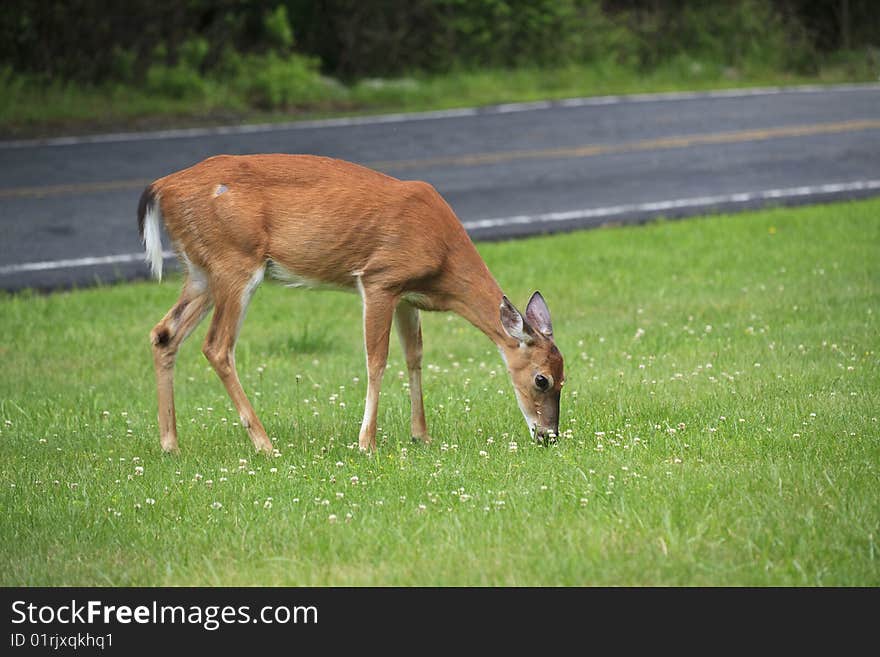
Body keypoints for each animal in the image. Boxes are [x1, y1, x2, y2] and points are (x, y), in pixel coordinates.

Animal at [138, 153, 564, 452]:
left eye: (564, 377)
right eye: (541, 379)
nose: (549, 435)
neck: (442, 258)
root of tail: (161, 187)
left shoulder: (407, 295)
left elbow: (415, 356)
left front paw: (421, 436)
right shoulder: (379, 279)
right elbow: (377, 360)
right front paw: (367, 443)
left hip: (200, 271)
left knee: (164, 333)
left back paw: (171, 444)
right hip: (234, 261)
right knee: (217, 346)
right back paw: (264, 444)